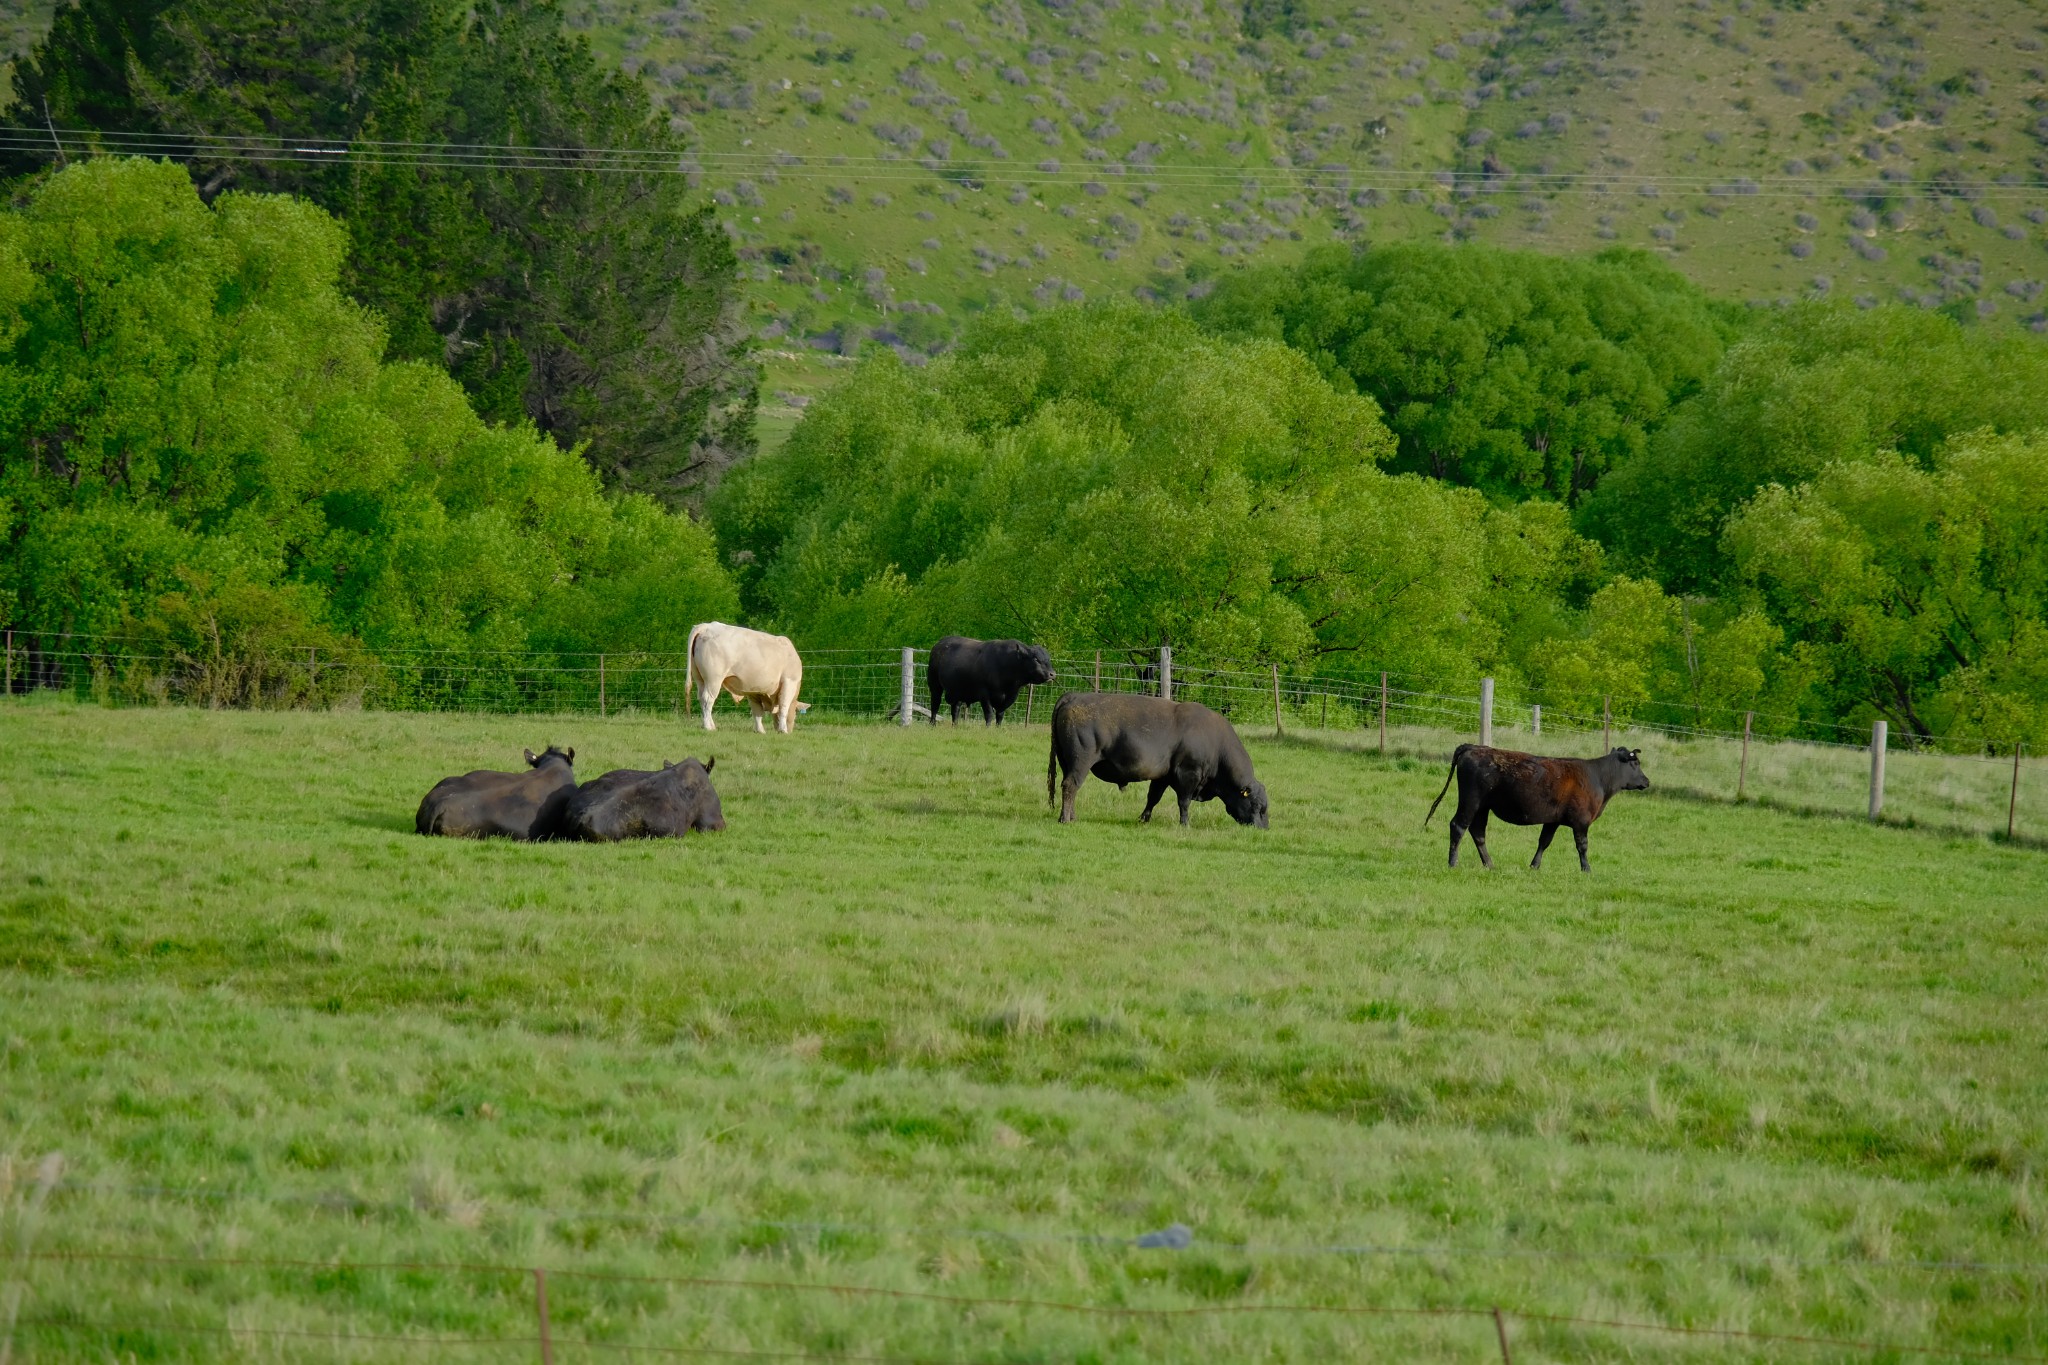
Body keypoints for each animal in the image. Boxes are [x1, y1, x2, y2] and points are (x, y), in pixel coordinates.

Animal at [1056, 699, 1261, 826]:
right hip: (1080, 763)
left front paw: (1143, 819)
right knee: (1070, 786)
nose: (1262, 828)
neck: (1215, 741)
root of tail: (1073, 696)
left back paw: (1072, 817)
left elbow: (1153, 798)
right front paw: (1185, 824)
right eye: (1257, 806)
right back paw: (1065, 819)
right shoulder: (1188, 775)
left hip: (1066, 764)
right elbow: (1184, 802)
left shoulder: (1162, 777)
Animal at [1425, 740, 1646, 871]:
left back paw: (1489, 864)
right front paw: (1586, 869)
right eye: (1635, 763)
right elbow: (1582, 846)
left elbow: (1544, 842)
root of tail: (1474, 747)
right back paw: (1453, 863)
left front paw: (1534, 866)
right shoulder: (1581, 821)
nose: (1647, 781)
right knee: (1458, 826)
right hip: (1471, 801)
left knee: (1478, 832)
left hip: (1482, 807)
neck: (1598, 777)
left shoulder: (1553, 820)